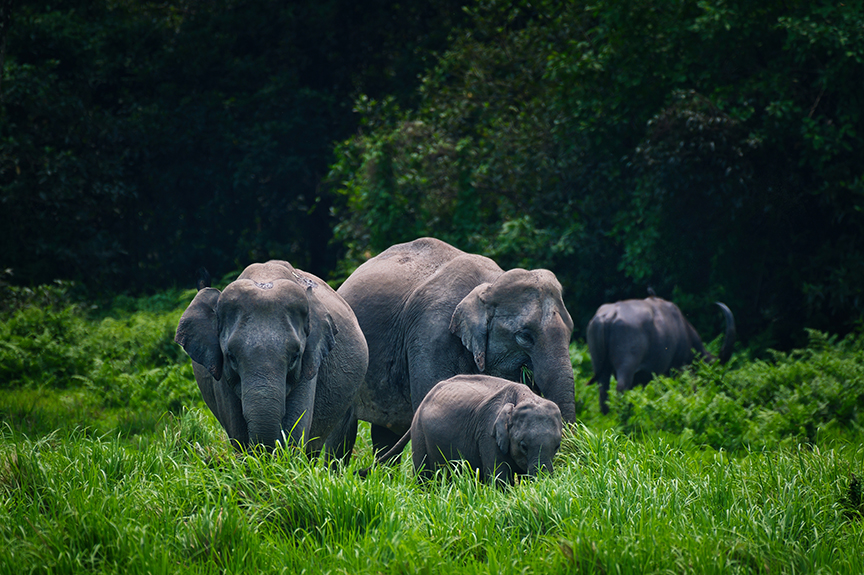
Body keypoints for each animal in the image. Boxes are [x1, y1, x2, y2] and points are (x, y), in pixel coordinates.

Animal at [175, 260, 368, 460]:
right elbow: (236, 428)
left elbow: (296, 425)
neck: (265, 276)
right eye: (231, 356)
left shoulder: (309, 361)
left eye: (295, 356)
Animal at [336, 237, 576, 455]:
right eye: (525, 336)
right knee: (343, 428)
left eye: (570, 332)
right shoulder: (430, 333)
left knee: (385, 432)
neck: (490, 284)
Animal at [365, 375, 563, 484]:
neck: (524, 396)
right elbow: (500, 479)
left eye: (557, 447)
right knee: (424, 476)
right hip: (419, 432)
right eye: (523, 445)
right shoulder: (488, 434)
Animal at [586, 294, 736, 414]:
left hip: (600, 366)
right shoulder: (680, 369)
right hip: (626, 367)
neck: (684, 332)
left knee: (603, 392)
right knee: (621, 388)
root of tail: (609, 316)